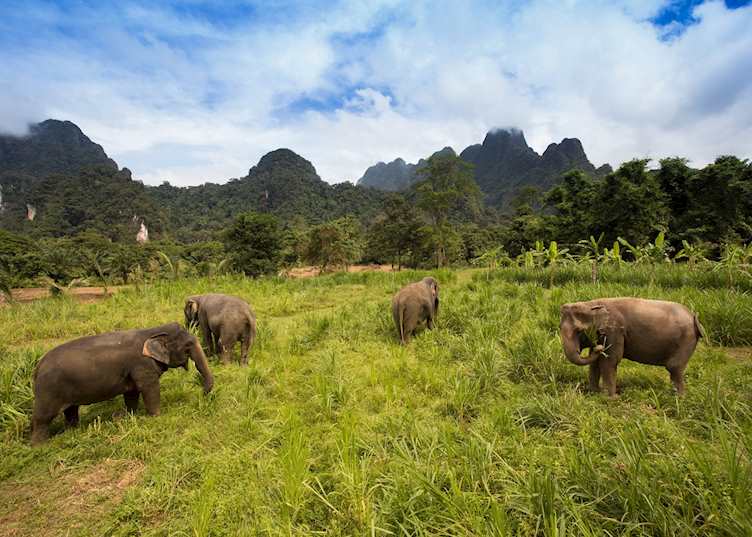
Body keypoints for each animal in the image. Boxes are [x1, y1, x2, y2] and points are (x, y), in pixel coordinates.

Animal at [30, 322, 213, 445]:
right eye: (188, 345)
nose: (202, 394)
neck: (152, 331)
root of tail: (37, 367)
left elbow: (131, 394)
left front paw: (131, 416)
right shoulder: (142, 365)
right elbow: (149, 389)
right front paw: (157, 416)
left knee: (71, 411)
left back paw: (73, 432)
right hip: (47, 391)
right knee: (42, 418)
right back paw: (40, 446)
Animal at [559, 298, 705, 397]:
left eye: (579, 331)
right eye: (559, 327)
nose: (599, 347)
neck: (592, 304)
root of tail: (694, 316)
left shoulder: (615, 331)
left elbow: (610, 361)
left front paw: (610, 398)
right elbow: (595, 363)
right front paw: (594, 393)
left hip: (686, 340)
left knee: (674, 367)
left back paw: (678, 398)